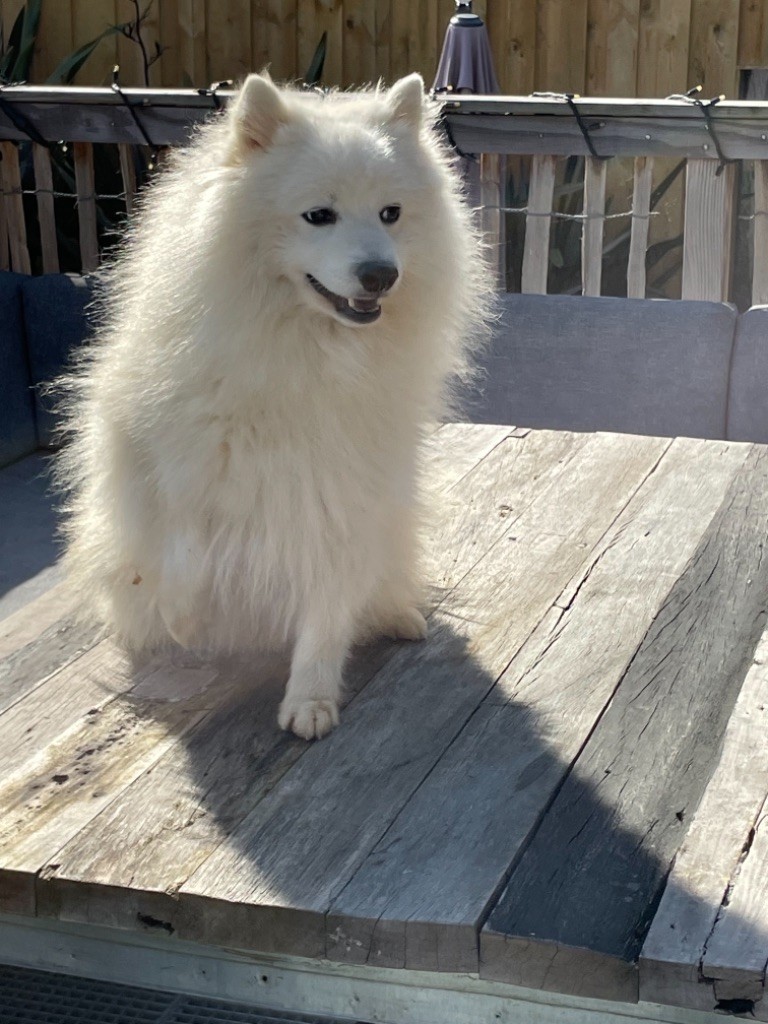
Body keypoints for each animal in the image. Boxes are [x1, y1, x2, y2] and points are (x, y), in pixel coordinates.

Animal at [61, 74, 493, 737]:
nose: (381, 275)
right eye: (319, 216)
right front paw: (184, 617)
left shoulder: (343, 494)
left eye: (390, 214)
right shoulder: (173, 462)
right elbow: (184, 547)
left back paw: (396, 615)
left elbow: (328, 612)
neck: (307, 354)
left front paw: (310, 699)